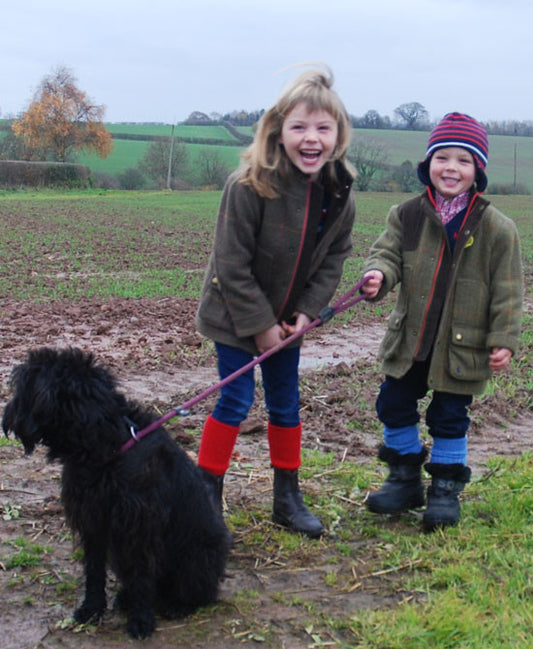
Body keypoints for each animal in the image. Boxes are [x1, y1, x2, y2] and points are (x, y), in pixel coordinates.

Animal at [2, 346, 231, 636]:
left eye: (24, 389)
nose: (7, 417)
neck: (105, 449)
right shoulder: (93, 520)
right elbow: (94, 570)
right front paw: (91, 609)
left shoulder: (139, 525)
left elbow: (142, 574)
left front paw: (141, 620)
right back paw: (125, 597)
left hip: (197, 554)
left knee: (200, 591)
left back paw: (176, 605)